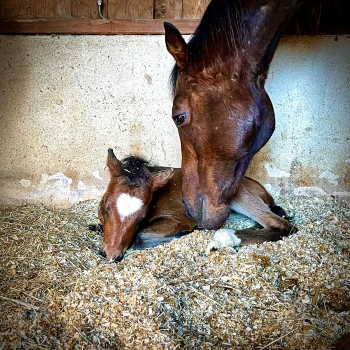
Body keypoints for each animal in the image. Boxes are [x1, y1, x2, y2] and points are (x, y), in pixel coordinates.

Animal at [98, 149, 296, 262]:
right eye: (106, 208)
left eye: (141, 217)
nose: (111, 255)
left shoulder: (179, 218)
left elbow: (139, 238)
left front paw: (186, 232)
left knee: (281, 224)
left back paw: (224, 238)